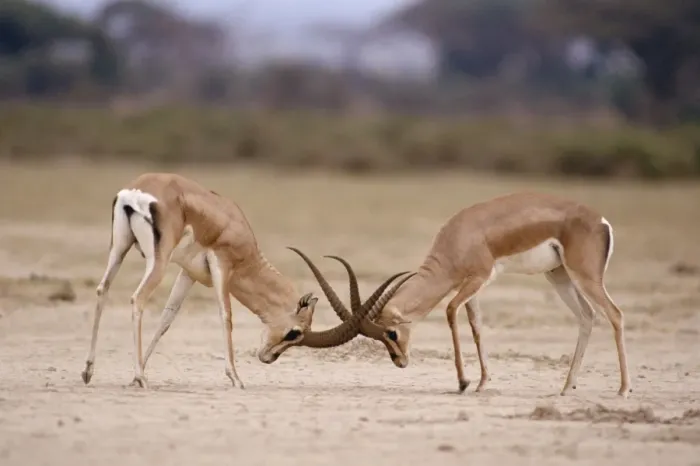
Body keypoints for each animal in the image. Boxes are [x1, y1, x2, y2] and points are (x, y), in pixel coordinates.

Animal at [81, 173, 414, 389]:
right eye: (295, 333)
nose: (268, 357)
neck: (235, 224)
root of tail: (136, 192)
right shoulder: (222, 266)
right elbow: (225, 315)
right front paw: (236, 378)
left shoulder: (189, 273)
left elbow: (167, 318)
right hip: (157, 262)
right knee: (137, 298)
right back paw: (140, 378)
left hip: (120, 248)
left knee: (102, 290)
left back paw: (89, 372)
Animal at [294, 192, 632, 397]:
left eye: (391, 333)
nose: (400, 362)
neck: (460, 236)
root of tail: (601, 221)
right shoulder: (472, 287)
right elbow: (476, 325)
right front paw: (481, 383)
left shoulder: (477, 280)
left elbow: (450, 312)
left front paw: (463, 382)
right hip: (559, 275)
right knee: (587, 317)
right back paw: (566, 387)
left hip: (584, 276)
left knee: (614, 314)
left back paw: (623, 389)